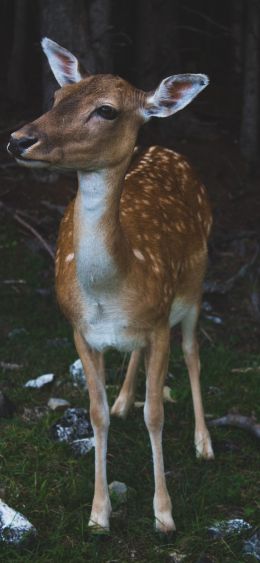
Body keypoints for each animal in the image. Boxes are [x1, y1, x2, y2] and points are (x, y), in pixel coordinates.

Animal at [8, 38, 214, 532]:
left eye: (106, 110)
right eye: (58, 97)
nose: (20, 139)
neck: (111, 290)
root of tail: (170, 151)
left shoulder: (159, 321)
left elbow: (156, 414)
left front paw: (164, 514)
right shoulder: (80, 330)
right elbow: (95, 414)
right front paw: (99, 514)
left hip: (195, 286)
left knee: (192, 352)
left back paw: (204, 443)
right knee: (137, 357)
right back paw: (124, 401)